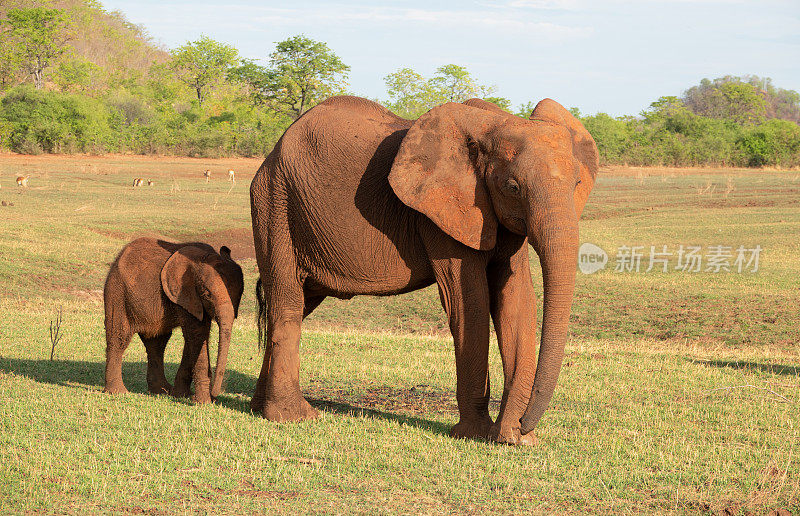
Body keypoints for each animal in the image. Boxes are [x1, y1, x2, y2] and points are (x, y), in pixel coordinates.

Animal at [104, 238, 245, 404]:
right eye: (207, 294)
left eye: (239, 296)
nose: (215, 395)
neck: (205, 258)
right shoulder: (185, 294)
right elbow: (197, 335)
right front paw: (202, 403)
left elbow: (194, 339)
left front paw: (182, 395)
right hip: (117, 292)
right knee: (119, 338)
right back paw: (118, 393)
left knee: (157, 343)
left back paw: (162, 391)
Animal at [250, 95, 592, 444]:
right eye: (512, 187)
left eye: (577, 183)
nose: (525, 424)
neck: (495, 125)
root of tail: (275, 150)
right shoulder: (442, 214)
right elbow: (470, 304)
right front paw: (474, 434)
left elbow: (516, 302)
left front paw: (512, 440)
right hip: (275, 205)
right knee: (288, 303)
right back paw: (293, 416)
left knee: (294, 304)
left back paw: (258, 409)